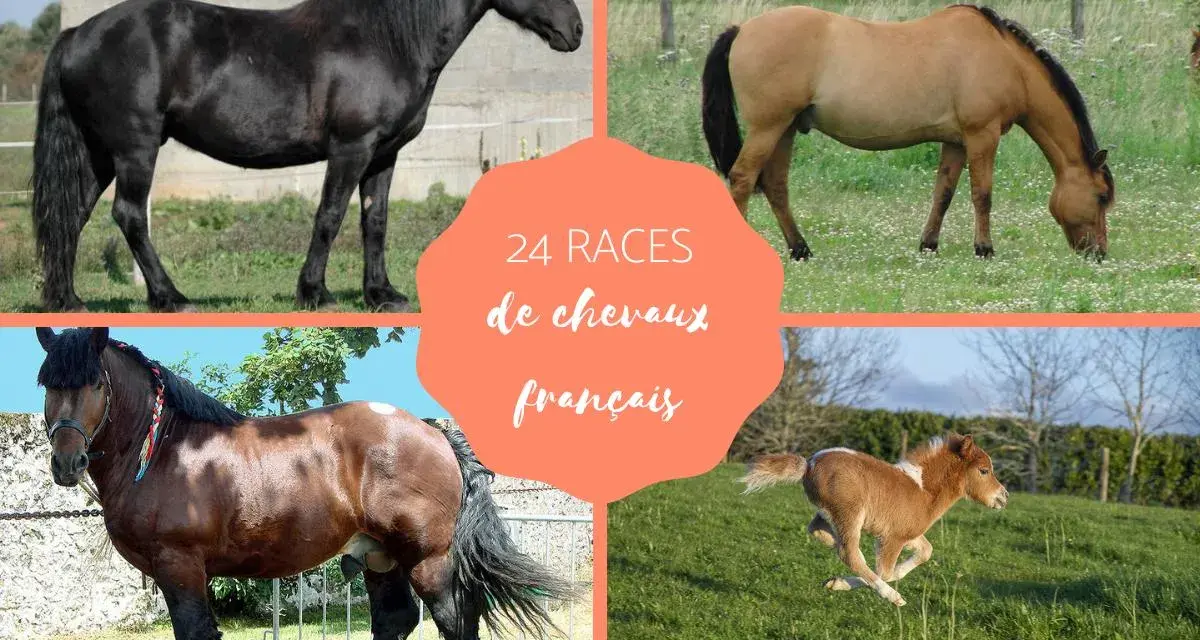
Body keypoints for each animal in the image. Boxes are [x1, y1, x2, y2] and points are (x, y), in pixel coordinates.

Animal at [32, 0, 584, 312]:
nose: (576, 29)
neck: (388, 39)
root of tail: (77, 34)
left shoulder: (383, 155)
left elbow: (374, 220)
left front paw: (382, 295)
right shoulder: (352, 148)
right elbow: (331, 216)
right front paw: (315, 292)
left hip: (99, 154)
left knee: (71, 216)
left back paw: (69, 302)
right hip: (135, 148)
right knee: (129, 216)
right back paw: (171, 298)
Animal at [34, 327, 571, 640]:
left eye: (95, 383)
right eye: (47, 385)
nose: (66, 462)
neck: (167, 448)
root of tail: (433, 431)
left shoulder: (179, 565)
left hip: (429, 561)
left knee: (455, 621)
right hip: (381, 557)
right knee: (396, 619)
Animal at [701, 4, 1114, 261]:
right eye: (1101, 196)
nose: (1099, 253)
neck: (1004, 58)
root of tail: (741, 30)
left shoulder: (955, 142)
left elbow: (943, 193)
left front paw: (929, 245)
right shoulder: (982, 135)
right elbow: (982, 195)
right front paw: (984, 248)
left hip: (785, 129)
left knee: (775, 186)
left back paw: (800, 249)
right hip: (767, 127)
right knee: (742, 179)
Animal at [738, 434, 1008, 607]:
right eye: (984, 471)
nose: (1004, 496)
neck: (924, 490)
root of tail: (809, 464)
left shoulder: (908, 533)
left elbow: (925, 552)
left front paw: (838, 582)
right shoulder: (893, 537)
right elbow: (884, 572)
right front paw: (850, 584)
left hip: (831, 513)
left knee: (818, 530)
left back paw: (834, 546)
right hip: (850, 513)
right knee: (849, 554)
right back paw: (891, 596)